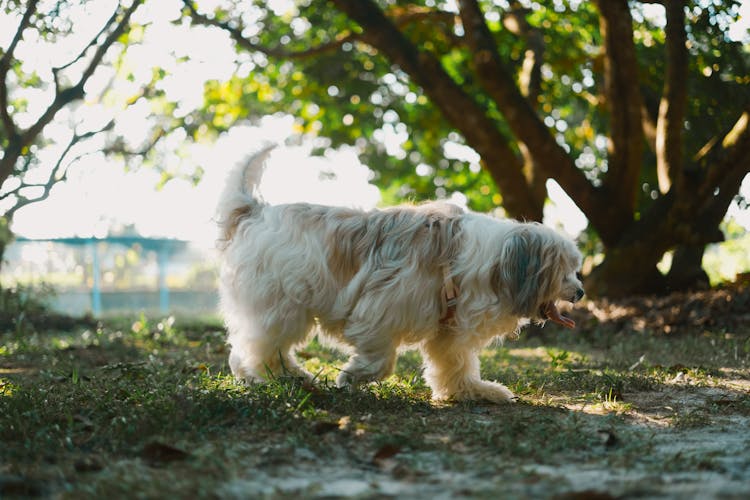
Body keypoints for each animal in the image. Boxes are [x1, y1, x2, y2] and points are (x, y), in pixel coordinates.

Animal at [214, 146, 584, 402]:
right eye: (564, 271)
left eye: (575, 271)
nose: (580, 292)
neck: (487, 261)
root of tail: (255, 212)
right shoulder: (381, 309)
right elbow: (381, 358)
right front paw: (352, 377)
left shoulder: (447, 330)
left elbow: (454, 364)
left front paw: (473, 390)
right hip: (281, 305)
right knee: (262, 349)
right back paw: (287, 378)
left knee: (247, 350)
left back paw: (272, 378)